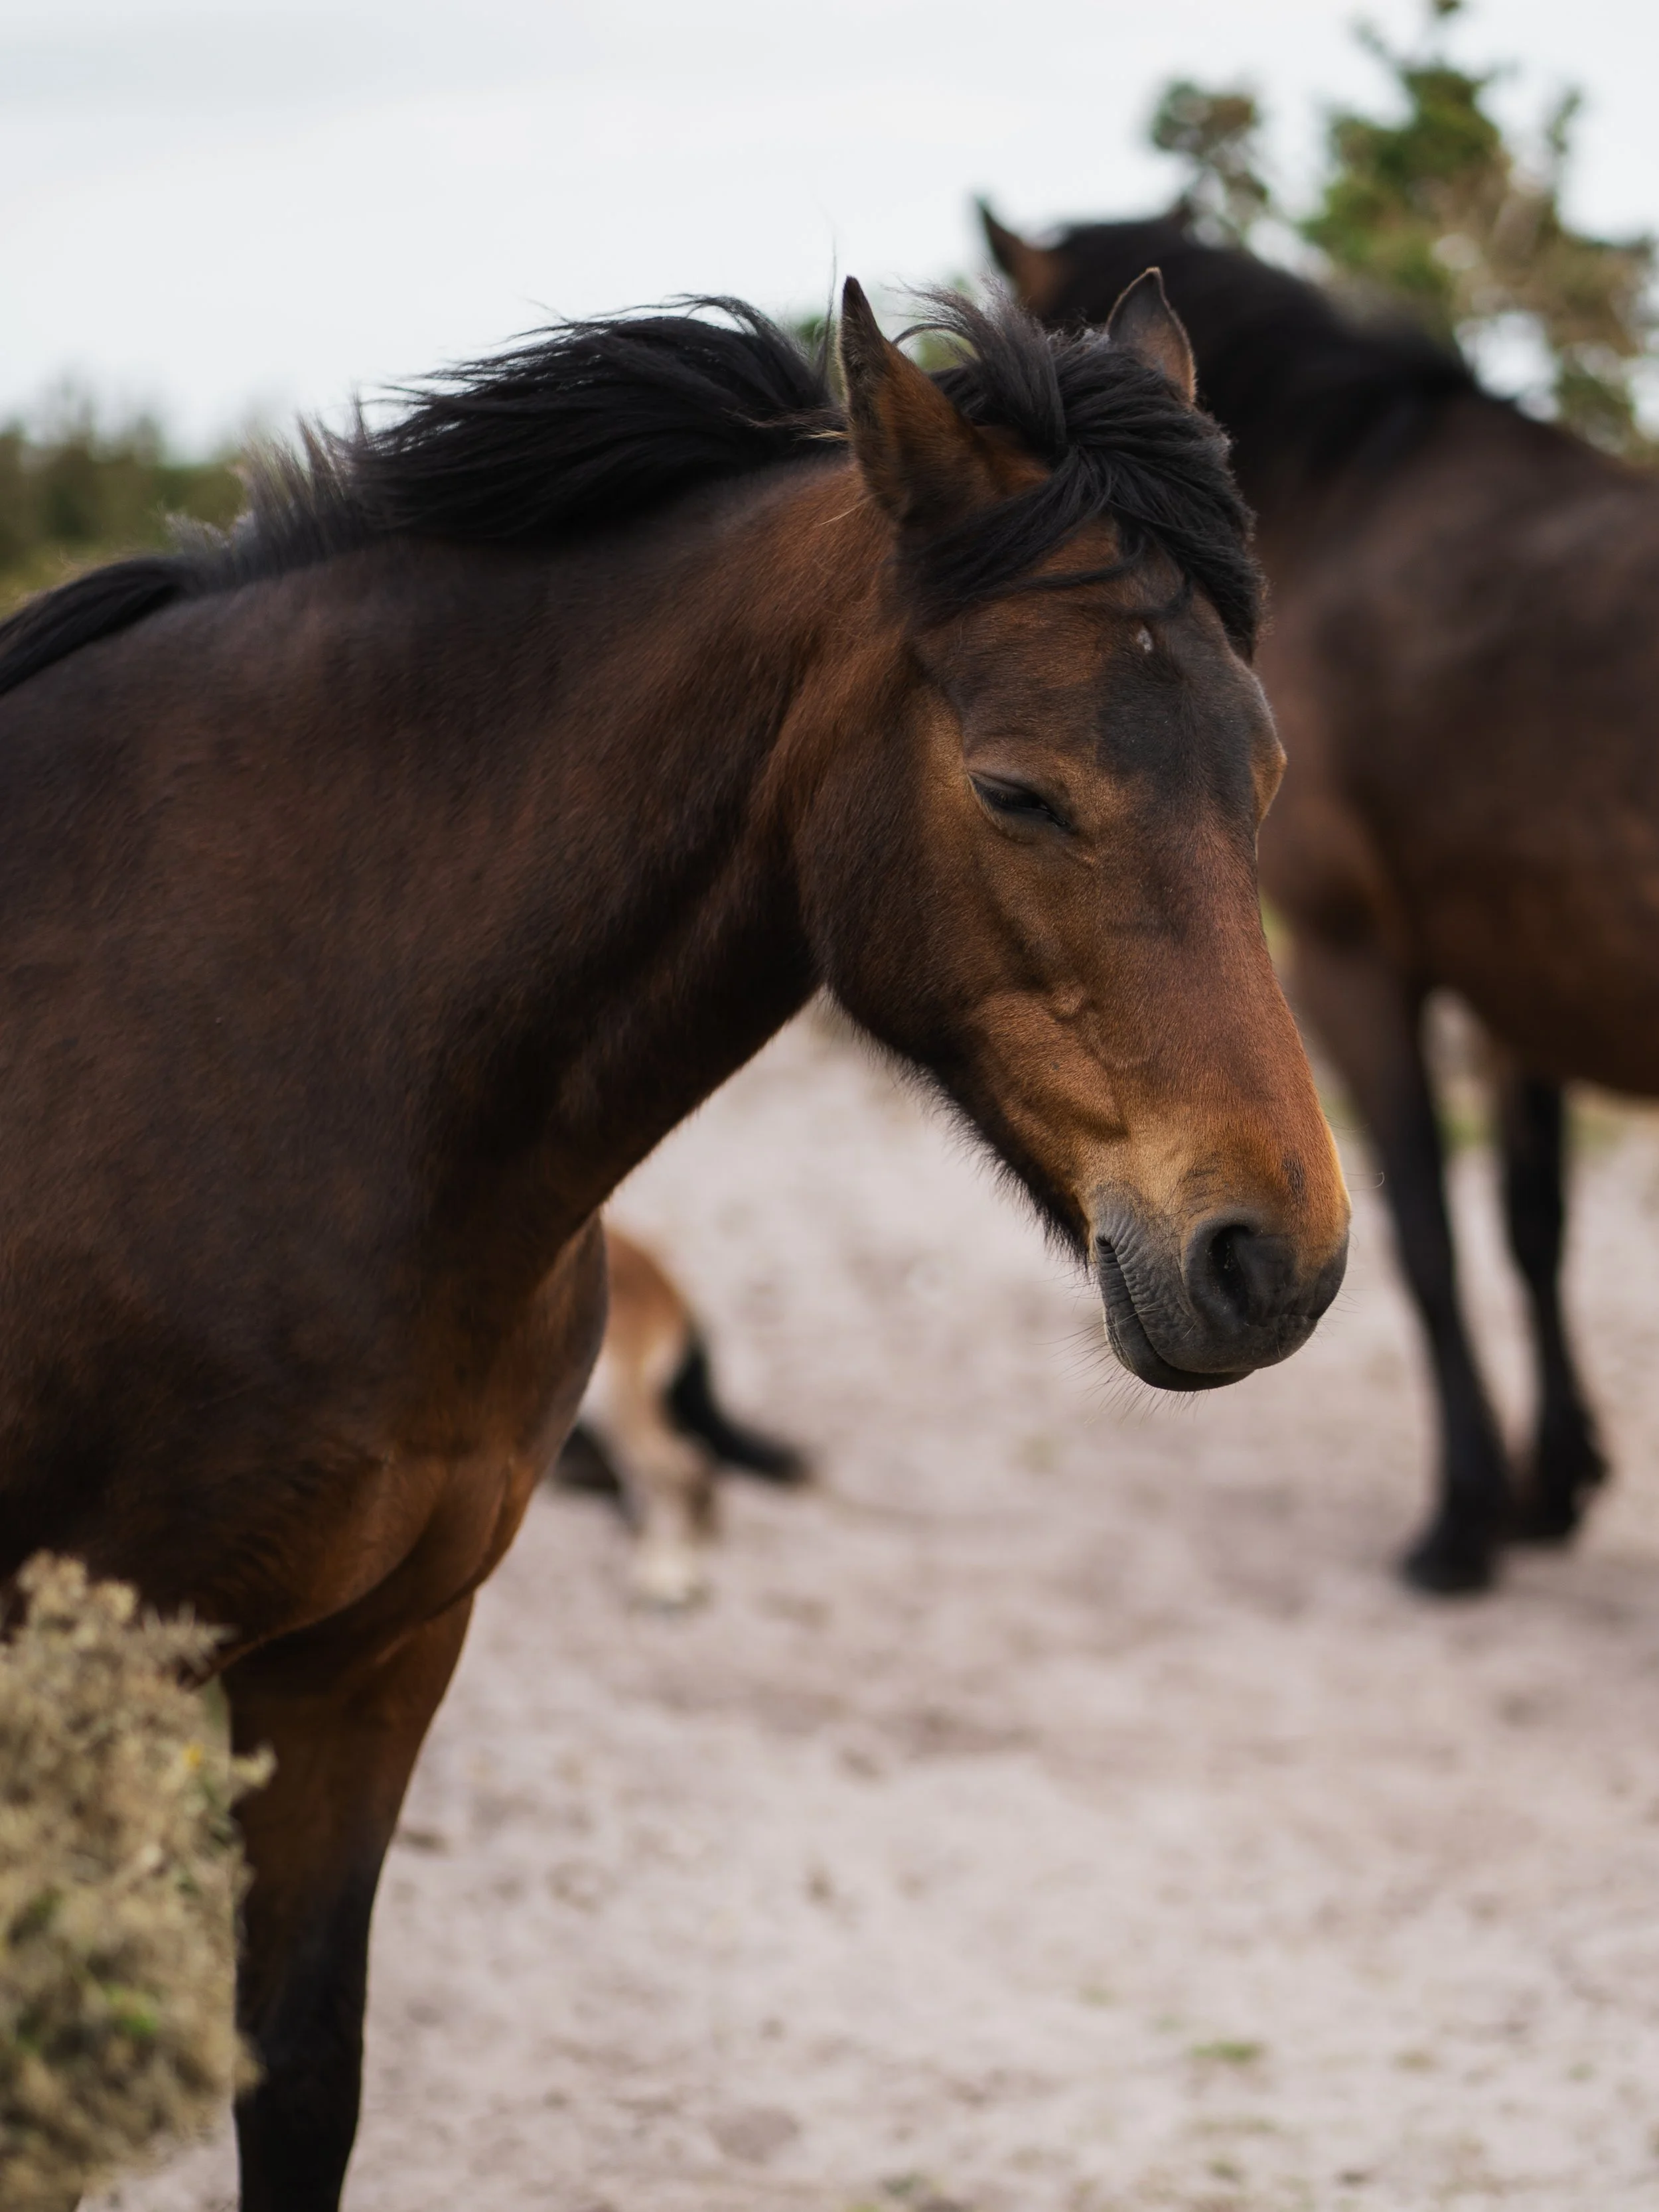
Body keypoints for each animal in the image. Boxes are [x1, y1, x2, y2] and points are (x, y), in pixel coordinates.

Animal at [983, 203, 1659, 1593]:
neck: (1352, 498)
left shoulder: (1356, 963)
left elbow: (1430, 1239)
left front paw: (1463, 1519)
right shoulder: (1516, 987)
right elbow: (1534, 1229)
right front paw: (1552, 1486)